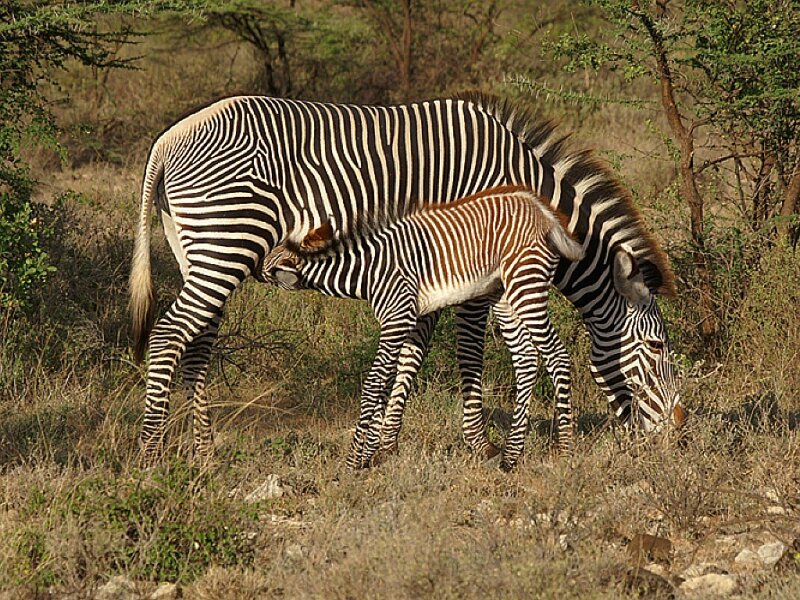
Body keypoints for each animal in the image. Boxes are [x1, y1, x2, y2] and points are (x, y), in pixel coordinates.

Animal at [259, 186, 584, 470]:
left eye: (274, 255)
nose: (256, 268)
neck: (368, 269)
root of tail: (541, 209)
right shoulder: (402, 321)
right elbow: (387, 381)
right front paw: (372, 453)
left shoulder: (397, 318)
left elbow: (373, 383)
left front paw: (353, 462)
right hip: (503, 294)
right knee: (527, 358)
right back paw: (510, 457)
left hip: (526, 282)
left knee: (556, 354)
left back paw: (565, 452)